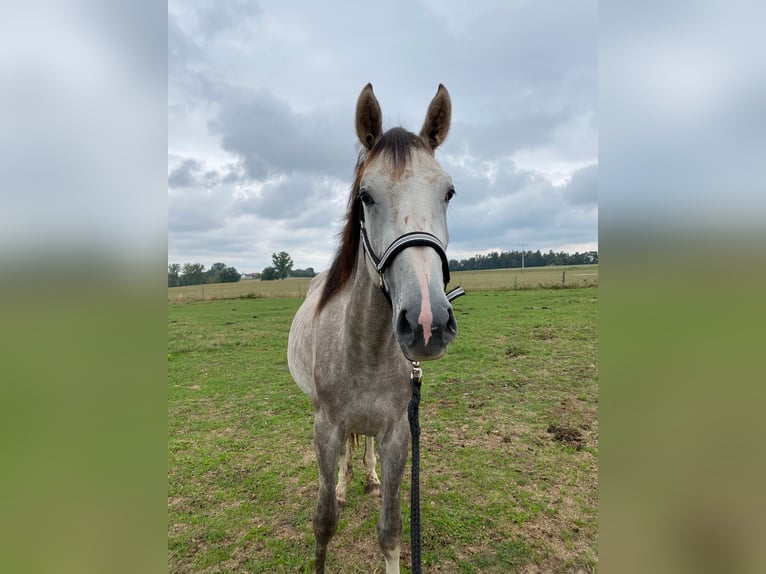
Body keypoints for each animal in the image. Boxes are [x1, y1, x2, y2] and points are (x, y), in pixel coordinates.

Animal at [286, 84, 456, 574]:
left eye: (449, 192)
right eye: (366, 196)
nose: (426, 322)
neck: (364, 350)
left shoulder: (398, 433)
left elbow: (391, 530)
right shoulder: (325, 428)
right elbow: (324, 522)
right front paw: (336, 498)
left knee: (363, 450)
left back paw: (370, 475)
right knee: (345, 455)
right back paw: (345, 483)